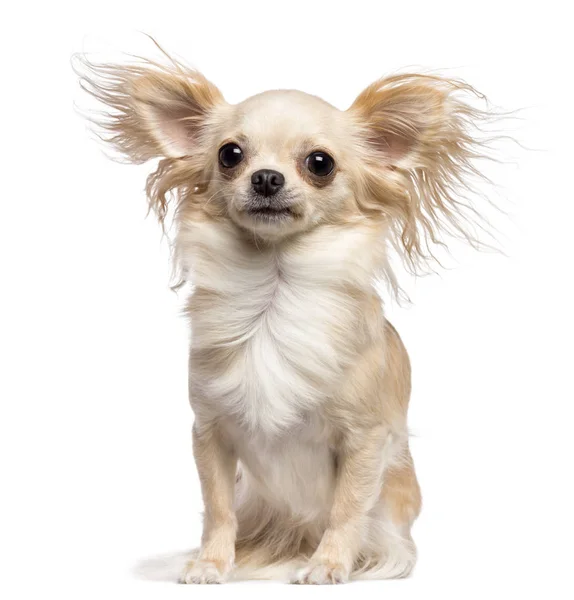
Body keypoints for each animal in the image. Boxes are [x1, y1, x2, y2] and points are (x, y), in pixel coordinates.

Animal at [76, 49, 496, 584]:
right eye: (229, 154)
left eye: (320, 163)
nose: (266, 177)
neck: (274, 293)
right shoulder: (209, 432)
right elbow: (218, 508)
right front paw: (212, 563)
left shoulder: (364, 440)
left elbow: (346, 509)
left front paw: (329, 565)